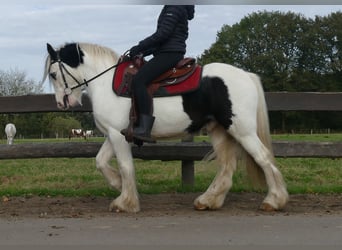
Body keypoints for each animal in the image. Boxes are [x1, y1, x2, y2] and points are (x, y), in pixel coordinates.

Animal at [42, 42, 288, 213]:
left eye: (53, 74)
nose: (62, 103)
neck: (106, 83)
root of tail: (246, 75)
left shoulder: (118, 136)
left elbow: (125, 166)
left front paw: (126, 202)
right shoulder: (114, 134)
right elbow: (100, 161)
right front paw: (118, 184)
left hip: (242, 130)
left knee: (263, 158)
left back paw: (274, 201)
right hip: (219, 130)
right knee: (227, 166)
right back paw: (208, 201)